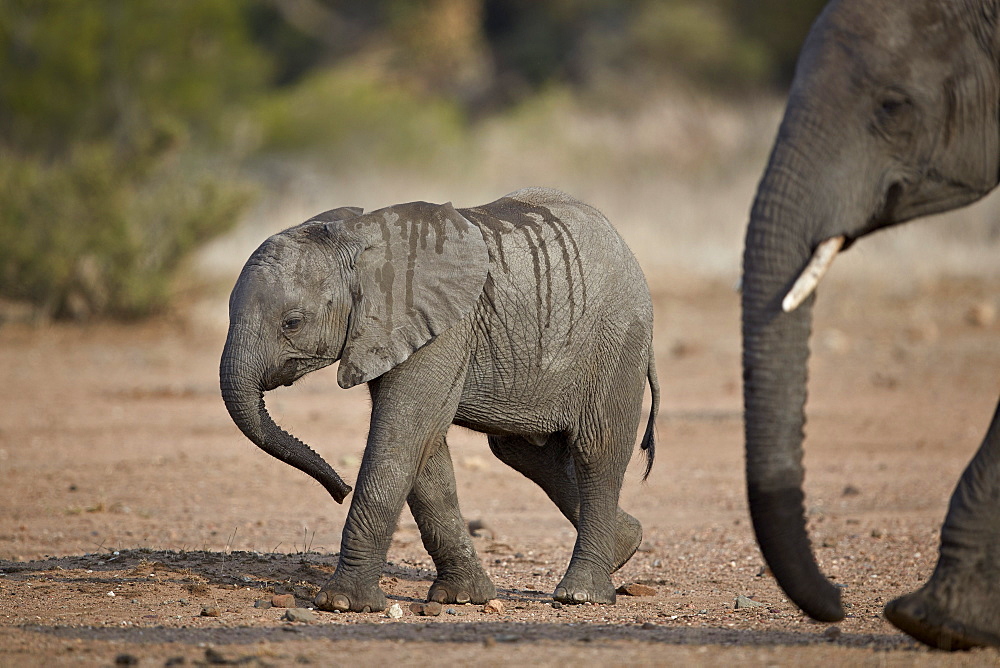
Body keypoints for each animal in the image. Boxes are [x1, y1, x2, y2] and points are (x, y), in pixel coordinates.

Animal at [220, 187, 660, 612]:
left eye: (292, 323)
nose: (339, 490)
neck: (358, 239)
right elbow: (426, 451)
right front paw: (462, 597)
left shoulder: (441, 330)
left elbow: (402, 436)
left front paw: (341, 603)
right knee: (524, 452)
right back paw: (625, 546)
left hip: (617, 342)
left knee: (597, 450)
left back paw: (581, 594)